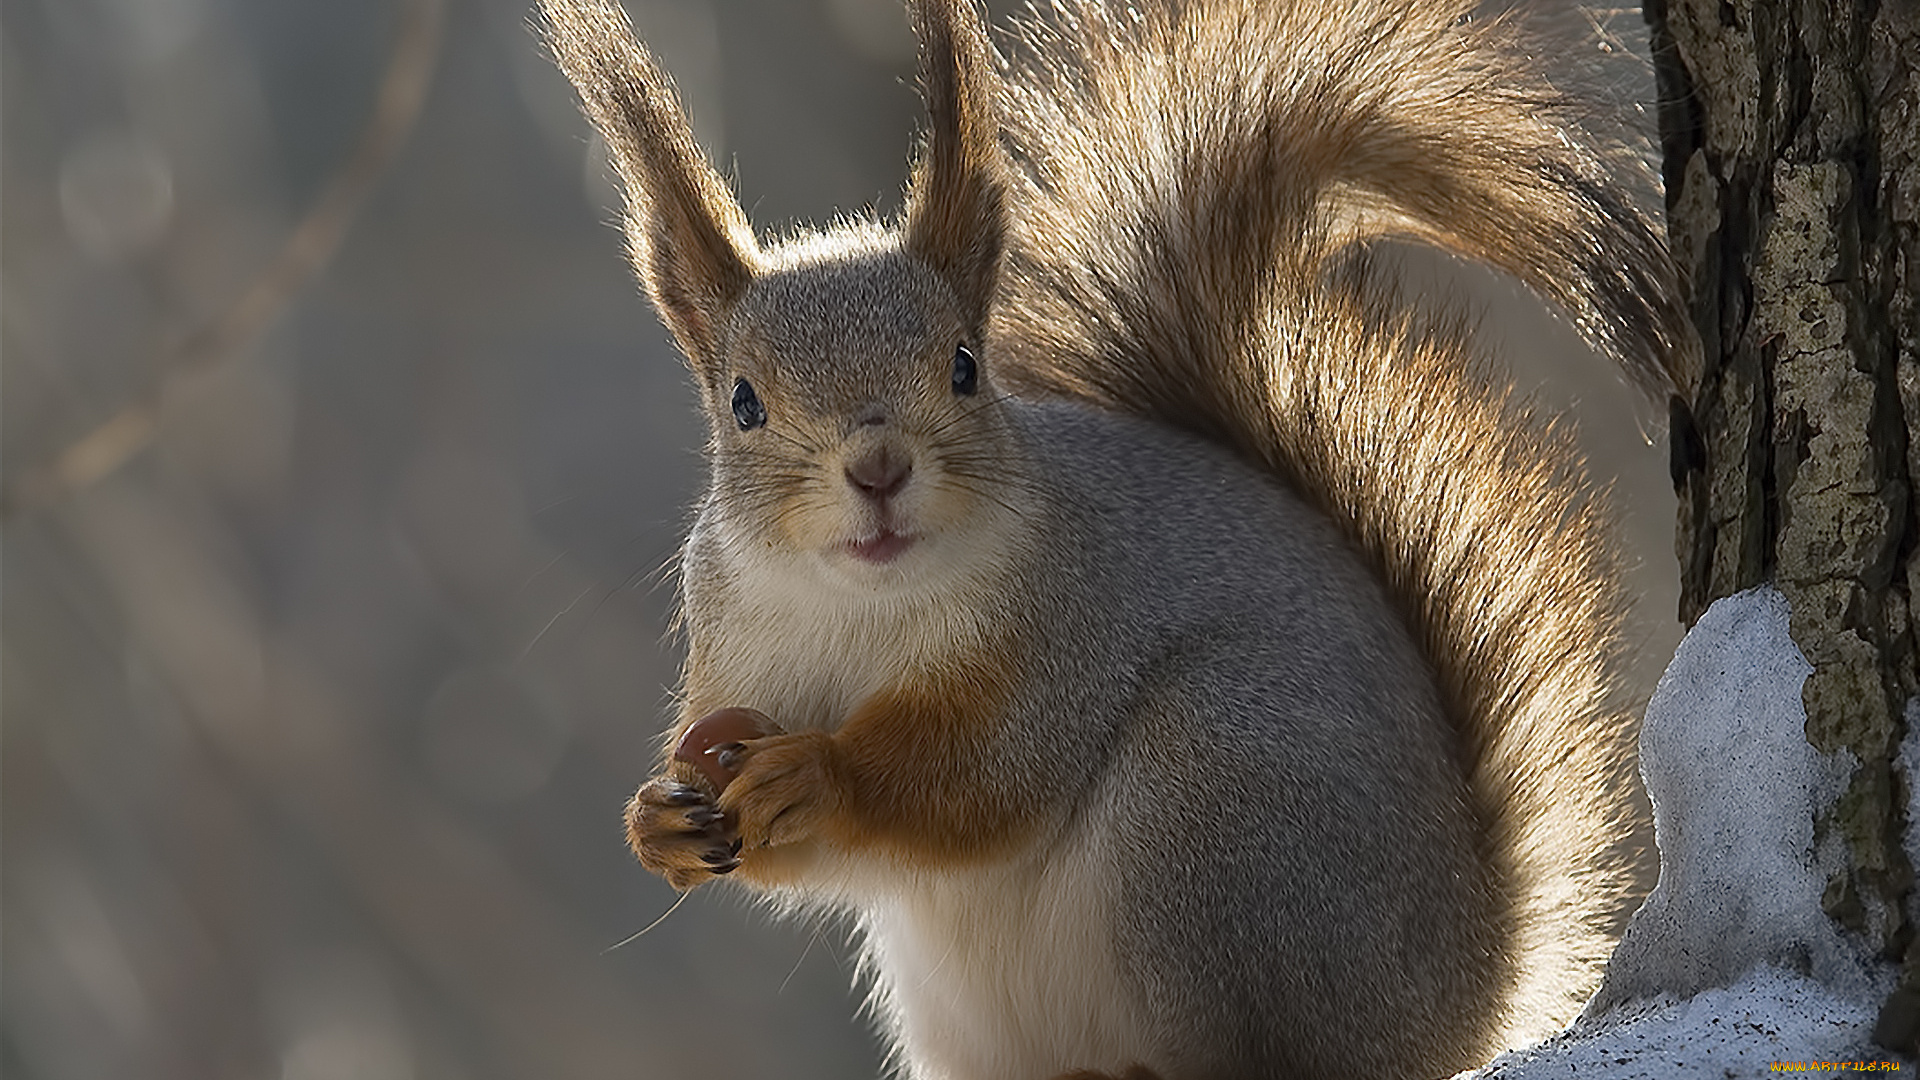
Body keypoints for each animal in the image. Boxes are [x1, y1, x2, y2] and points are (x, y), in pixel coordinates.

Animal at [537, 2, 1681, 1076]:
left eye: (965, 366)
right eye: (742, 402)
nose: (878, 468)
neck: (863, 607)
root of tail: (1467, 994)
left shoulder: (1068, 624)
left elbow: (985, 777)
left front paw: (821, 775)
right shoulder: (736, 654)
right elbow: (818, 864)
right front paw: (658, 821)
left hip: (1219, 802)